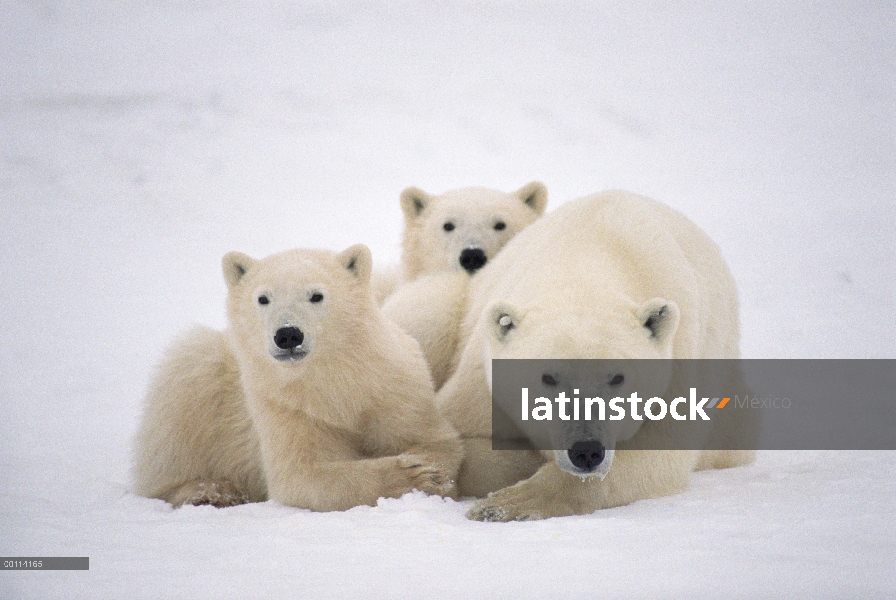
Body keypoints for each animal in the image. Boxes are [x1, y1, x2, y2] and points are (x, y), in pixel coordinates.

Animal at [132, 244, 462, 510]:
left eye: (316, 295)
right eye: (263, 298)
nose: (288, 334)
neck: (334, 382)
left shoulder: (394, 390)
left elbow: (437, 440)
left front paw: (428, 469)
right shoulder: (285, 407)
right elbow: (302, 475)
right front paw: (412, 474)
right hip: (204, 375)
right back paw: (213, 491)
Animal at [438, 191, 760, 520]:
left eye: (617, 377)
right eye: (548, 377)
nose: (586, 451)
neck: (587, 263)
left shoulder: (678, 363)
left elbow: (658, 452)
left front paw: (508, 503)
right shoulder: (480, 379)